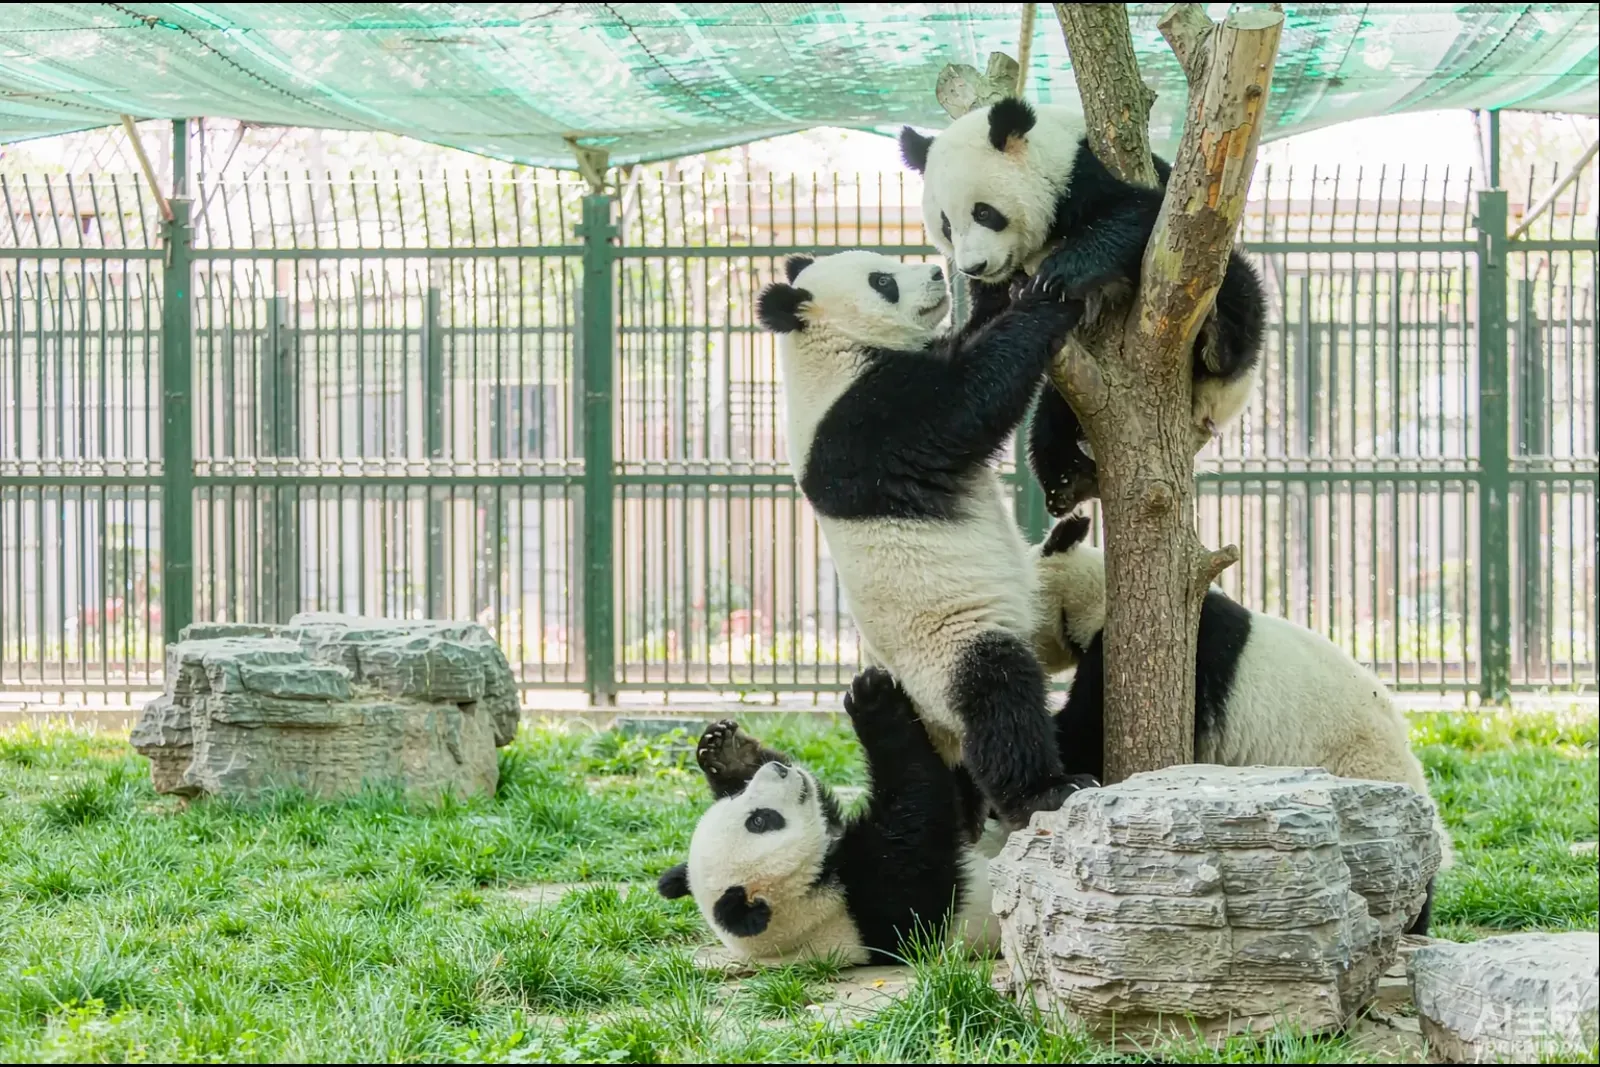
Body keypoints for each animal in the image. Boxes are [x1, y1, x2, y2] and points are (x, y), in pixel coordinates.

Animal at [656, 668, 1008, 966]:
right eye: (760, 820)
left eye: (740, 798)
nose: (780, 770)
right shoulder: (879, 900)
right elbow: (917, 806)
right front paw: (872, 699)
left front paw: (726, 753)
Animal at [756, 249, 1098, 830]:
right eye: (883, 280)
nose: (940, 272)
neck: (827, 346)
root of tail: (938, 729)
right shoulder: (864, 421)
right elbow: (969, 396)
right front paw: (1048, 299)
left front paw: (1003, 286)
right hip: (947, 649)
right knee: (998, 694)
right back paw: (1044, 790)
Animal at [899, 98, 1267, 518]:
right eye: (946, 225)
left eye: (984, 213)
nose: (974, 266)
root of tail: (1210, 410)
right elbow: (988, 313)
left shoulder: (1080, 177)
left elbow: (1138, 214)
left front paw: (1059, 274)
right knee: (1052, 419)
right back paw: (1069, 481)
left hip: (1223, 300)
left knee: (1236, 288)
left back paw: (1217, 342)